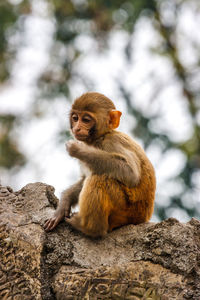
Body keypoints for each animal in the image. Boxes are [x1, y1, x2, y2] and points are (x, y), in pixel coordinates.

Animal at [43, 91, 156, 237]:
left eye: (86, 120)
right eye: (75, 118)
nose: (77, 128)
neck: (100, 137)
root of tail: (142, 219)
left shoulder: (112, 142)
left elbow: (131, 174)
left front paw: (79, 149)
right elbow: (83, 179)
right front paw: (63, 206)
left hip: (126, 213)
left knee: (100, 178)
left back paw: (89, 228)